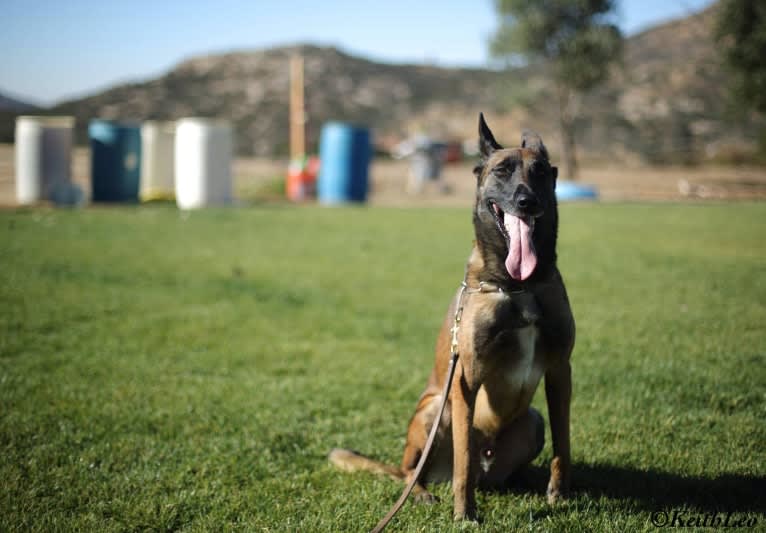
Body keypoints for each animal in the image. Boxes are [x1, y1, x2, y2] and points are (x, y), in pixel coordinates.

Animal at [330, 115, 576, 520]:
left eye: (540, 172)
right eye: (502, 171)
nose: (527, 201)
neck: (516, 285)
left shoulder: (560, 372)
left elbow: (563, 444)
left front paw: (558, 492)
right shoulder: (465, 379)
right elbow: (464, 460)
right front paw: (465, 513)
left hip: (532, 420)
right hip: (435, 410)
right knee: (415, 472)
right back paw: (422, 492)